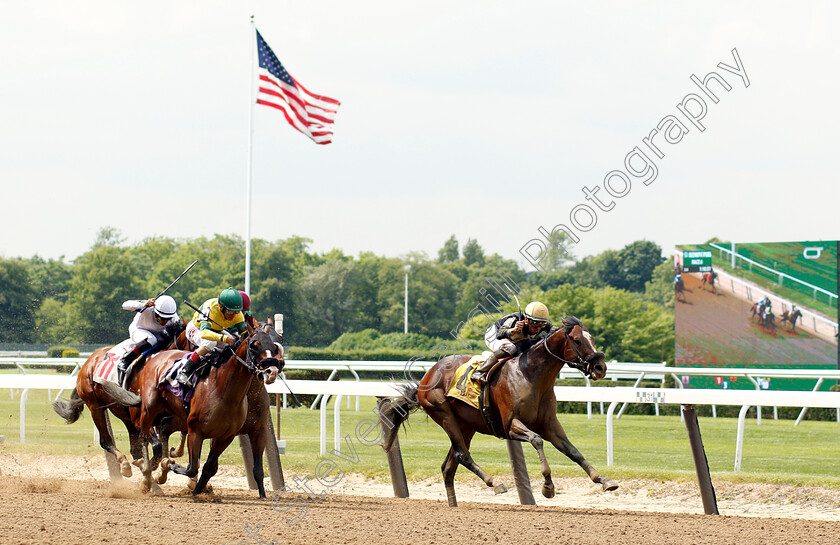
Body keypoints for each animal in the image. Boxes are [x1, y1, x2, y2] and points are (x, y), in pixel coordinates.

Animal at [380, 314, 616, 506]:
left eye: (593, 339)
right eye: (577, 340)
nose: (600, 367)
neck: (531, 375)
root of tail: (426, 377)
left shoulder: (549, 424)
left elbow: (573, 451)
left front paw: (604, 480)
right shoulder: (510, 425)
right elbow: (537, 440)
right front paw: (548, 486)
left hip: (466, 425)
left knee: (449, 465)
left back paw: (454, 505)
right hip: (444, 414)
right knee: (462, 455)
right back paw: (495, 483)